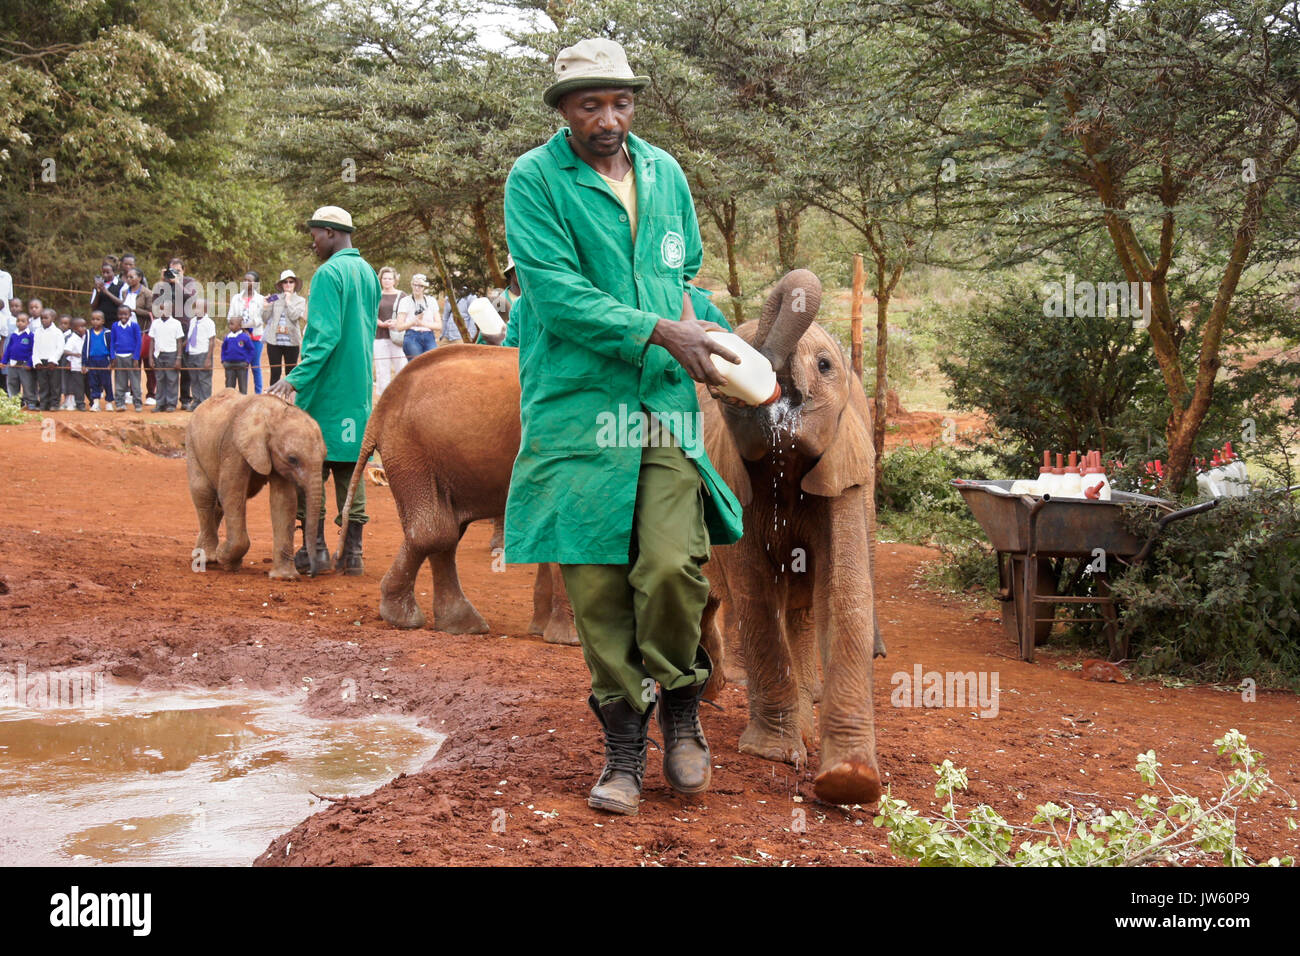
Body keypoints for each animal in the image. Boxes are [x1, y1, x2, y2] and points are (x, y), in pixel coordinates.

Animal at [185, 391, 327, 579]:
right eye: (292, 459)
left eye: (325, 456)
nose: (311, 573)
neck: (274, 414)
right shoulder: (234, 446)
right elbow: (231, 492)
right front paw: (226, 559)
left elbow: (284, 500)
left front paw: (285, 578)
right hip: (193, 444)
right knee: (204, 495)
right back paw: (208, 559)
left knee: (217, 504)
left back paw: (202, 555)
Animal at [340, 344, 578, 644]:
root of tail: (378, 412)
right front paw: (568, 640)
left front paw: (543, 631)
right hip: (411, 452)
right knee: (435, 531)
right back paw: (411, 620)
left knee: (445, 532)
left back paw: (459, 624)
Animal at [697, 268, 884, 807]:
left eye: (824, 366)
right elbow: (756, 594)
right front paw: (776, 756)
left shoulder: (844, 471)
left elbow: (844, 591)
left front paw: (849, 782)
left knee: (799, 612)